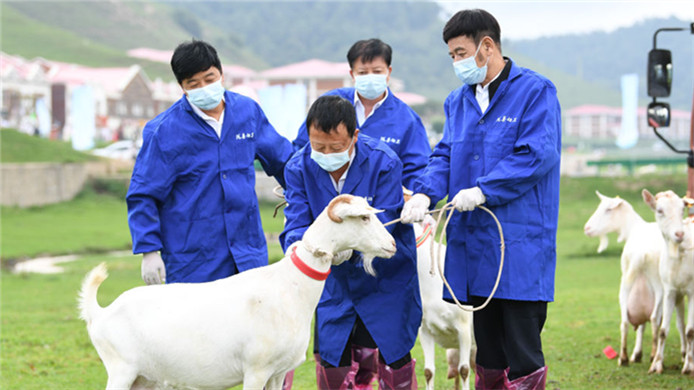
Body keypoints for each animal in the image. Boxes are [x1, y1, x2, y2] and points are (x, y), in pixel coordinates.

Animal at [77, 195, 396, 390]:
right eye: (364, 218)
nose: (392, 244)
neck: (289, 285)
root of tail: (100, 312)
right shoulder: (255, 369)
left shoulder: (278, 372)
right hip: (121, 369)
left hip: (145, 378)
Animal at [584, 190, 672, 364]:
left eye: (608, 210)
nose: (587, 228)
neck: (633, 228)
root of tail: (641, 253)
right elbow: (645, 324)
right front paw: (638, 354)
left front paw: (636, 354)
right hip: (658, 288)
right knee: (653, 319)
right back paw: (652, 355)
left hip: (625, 286)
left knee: (624, 321)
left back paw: (623, 358)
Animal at [644, 189, 694, 374]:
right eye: (660, 210)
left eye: (682, 209)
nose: (679, 234)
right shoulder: (670, 291)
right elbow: (664, 330)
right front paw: (656, 365)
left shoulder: (692, 292)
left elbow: (691, 331)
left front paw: (689, 366)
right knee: (680, 323)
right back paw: (684, 353)